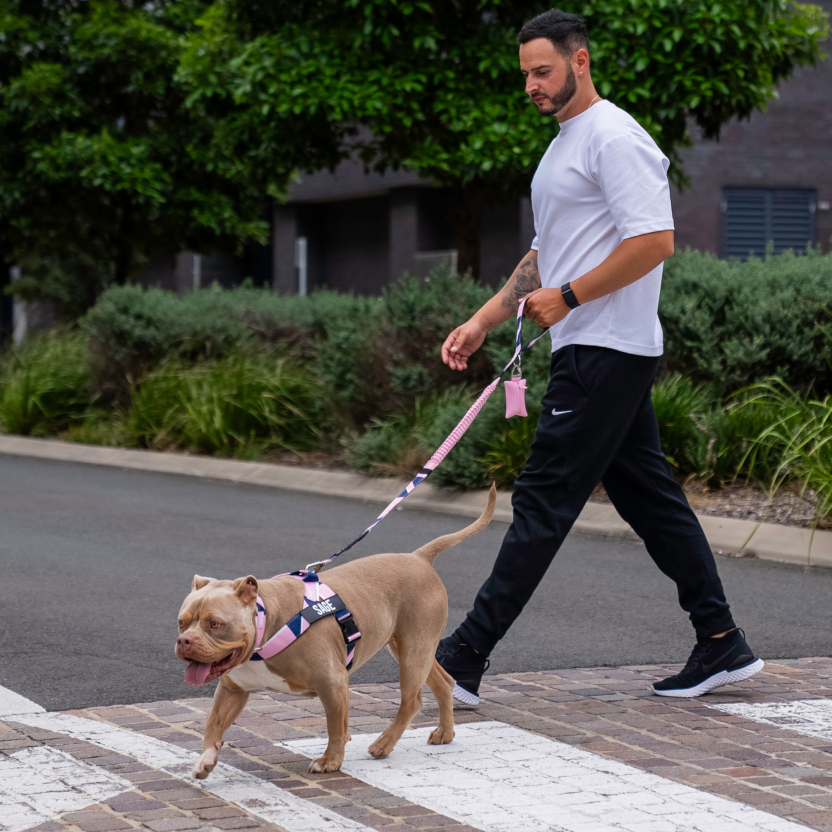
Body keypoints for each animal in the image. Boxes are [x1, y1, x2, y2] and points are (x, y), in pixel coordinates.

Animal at [171, 484, 490, 776]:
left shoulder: (332, 682)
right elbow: (212, 724)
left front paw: (331, 761)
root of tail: (419, 557)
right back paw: (444, 732)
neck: (267, 624)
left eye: (215, 624)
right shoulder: (232, 690)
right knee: (443, 682)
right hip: (410, 648)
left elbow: (335, 726)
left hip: (414, 651)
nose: (185, 641)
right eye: (181, 622)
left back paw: (383, 744)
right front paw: (205, 760)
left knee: (412, 700)